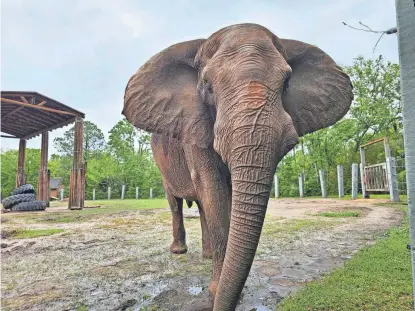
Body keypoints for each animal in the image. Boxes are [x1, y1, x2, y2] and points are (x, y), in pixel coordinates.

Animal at [123, 23, 354, 310]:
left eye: (287, 82)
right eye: (207, 85)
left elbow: (227, 196)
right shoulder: (196, 126)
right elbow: (213, 190)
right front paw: (215, 290)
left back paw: (206, 255)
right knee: (175, 202)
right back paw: (179, 251)